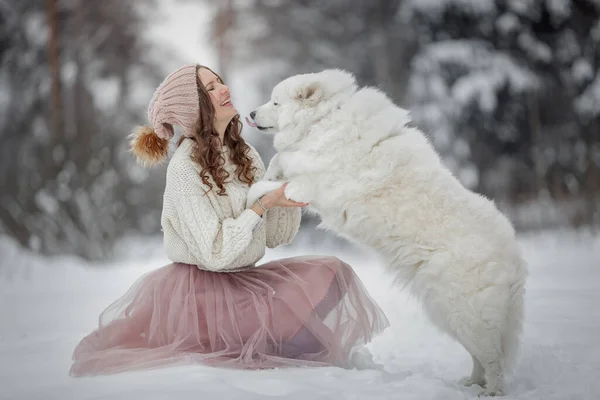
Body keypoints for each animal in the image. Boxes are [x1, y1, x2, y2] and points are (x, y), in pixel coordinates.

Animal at [244, 69, 524, 396]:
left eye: (275, 102)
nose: (250, 113)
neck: (325, 120)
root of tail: (514, 256)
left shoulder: (308, 186)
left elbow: (270, 185)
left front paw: (252, 195)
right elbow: (280, 163)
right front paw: (269, 172)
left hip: (465, 313)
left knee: (492, 358)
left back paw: (493, 391)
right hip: (447, 313)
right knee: (479, 356)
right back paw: (472, 382)